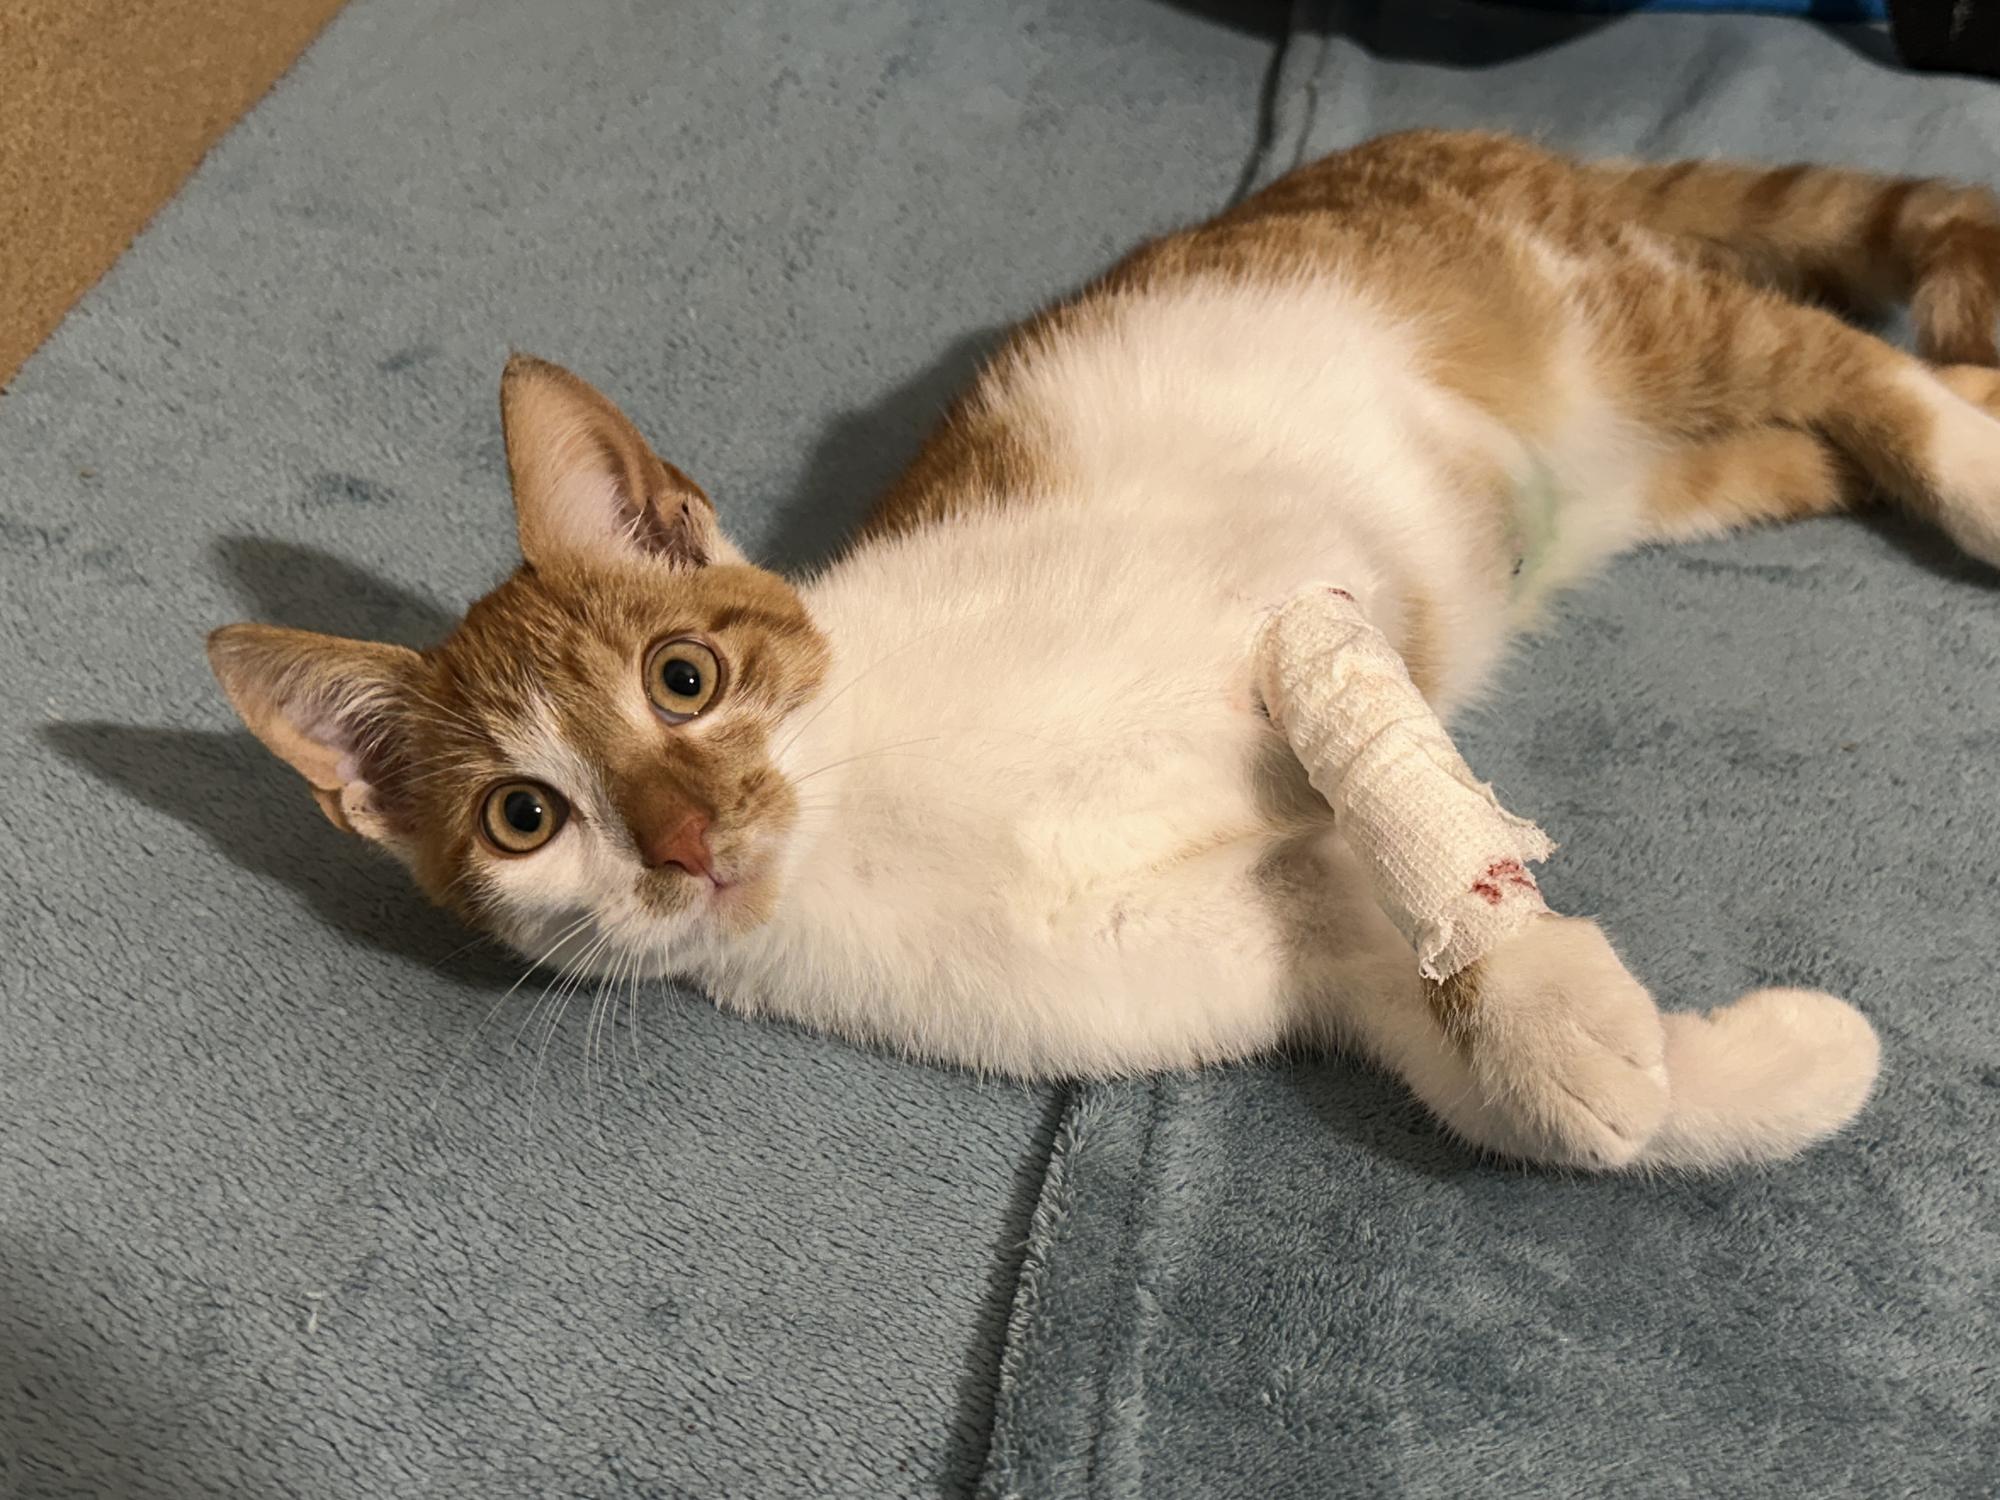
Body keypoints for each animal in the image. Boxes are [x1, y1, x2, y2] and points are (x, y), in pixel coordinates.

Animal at [208, 130, 2000, 1171]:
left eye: (683, 679)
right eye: (526, 816)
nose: (689, 839)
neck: (871, 827)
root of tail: (1431, 129)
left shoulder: (1299, 600)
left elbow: (1412, 806)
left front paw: (1538, 987)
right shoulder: (1275, 944)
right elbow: (1427, 1026)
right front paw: (1726, 1070)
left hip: (1607, 314)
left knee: (1837, 357)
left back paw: (1974, 461)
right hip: (1652, 465)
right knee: (1805, 435)